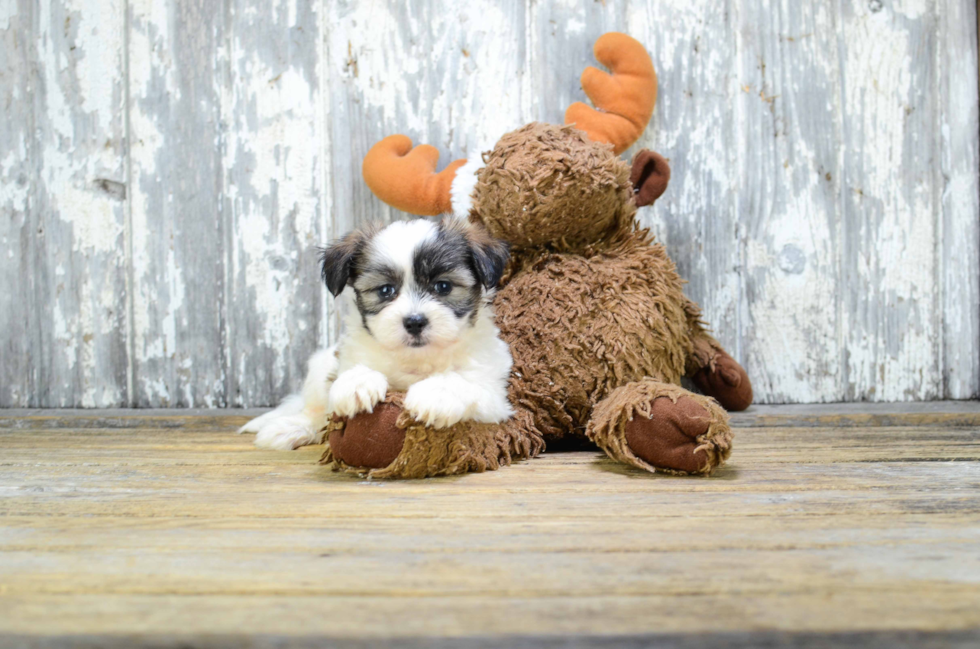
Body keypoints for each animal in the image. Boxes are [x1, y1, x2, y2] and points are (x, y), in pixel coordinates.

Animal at [239, 218, 512, 450]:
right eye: (385, 290)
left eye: (443, 286)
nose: (414, 322)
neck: (416, 359)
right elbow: (348, 380)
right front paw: (358, 383)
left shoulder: (496, 400)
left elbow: (462, 382)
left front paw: (436, 393)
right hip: (320, 368)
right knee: (316, 411)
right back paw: (292, 428)